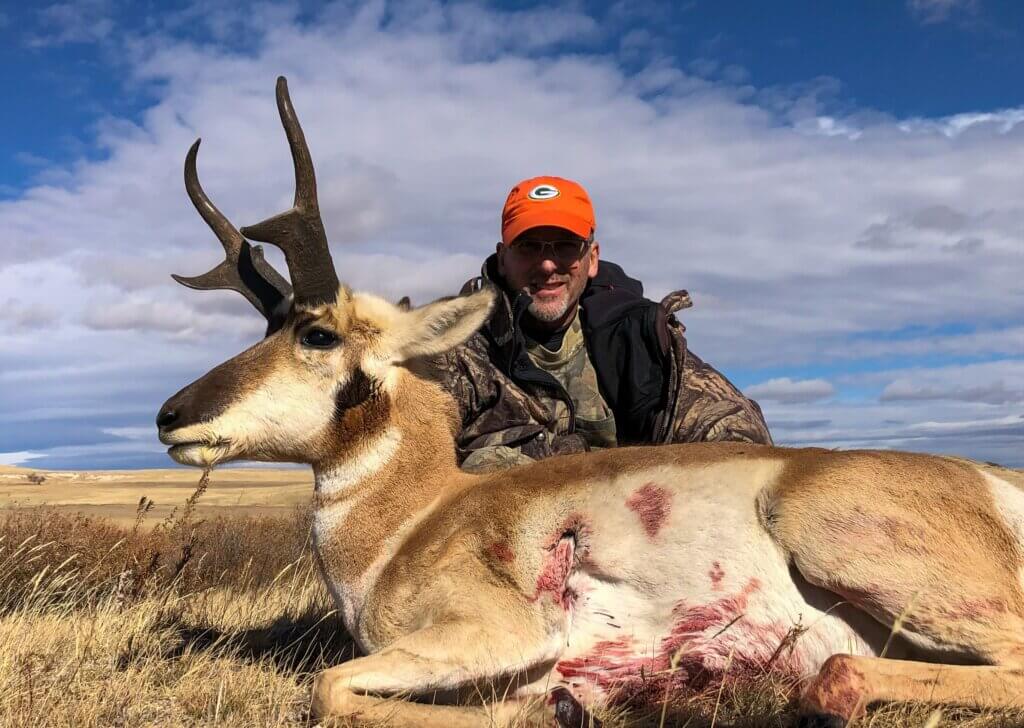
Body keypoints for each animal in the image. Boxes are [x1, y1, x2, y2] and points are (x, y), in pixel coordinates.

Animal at [158, 77, 1024, 726]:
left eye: (316, 334)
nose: (169, 415)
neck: (418, 517)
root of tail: (991, 481)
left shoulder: (497, 631)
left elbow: (330, 688)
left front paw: (556, 708)